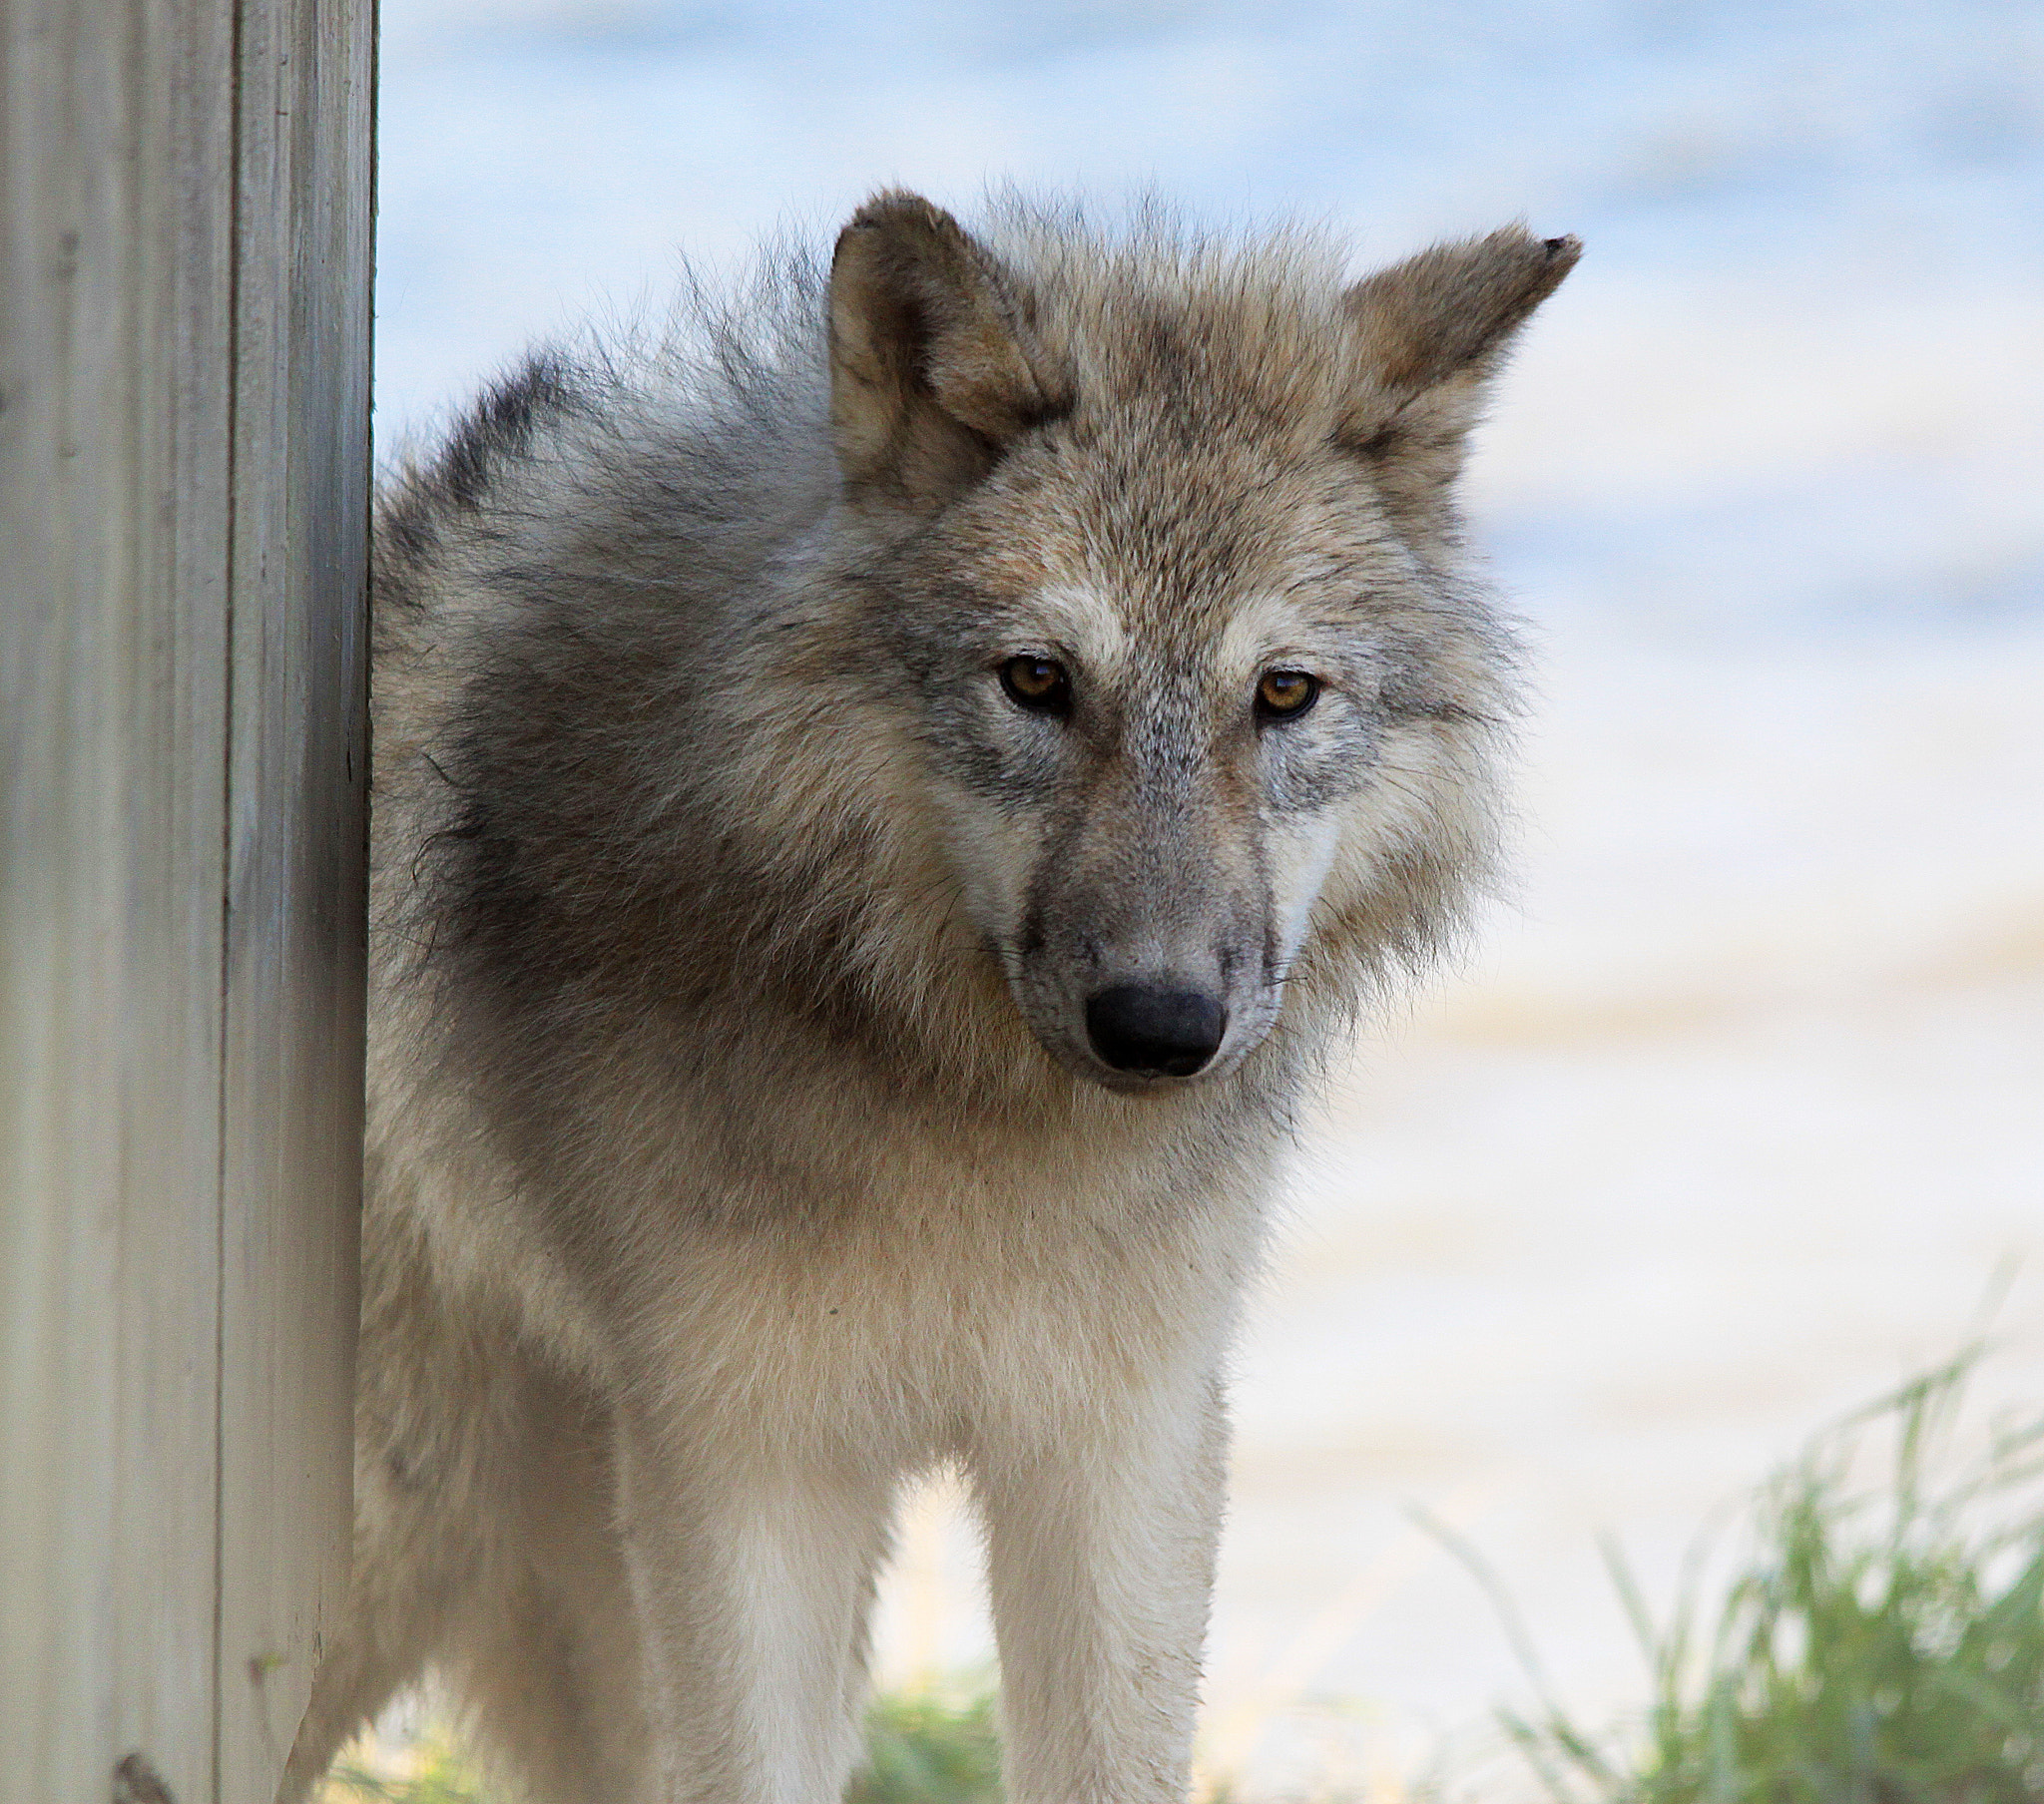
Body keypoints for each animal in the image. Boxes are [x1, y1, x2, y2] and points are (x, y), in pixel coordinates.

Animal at [281, 192, 1577, 1804]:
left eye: (1282, 695)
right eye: (1035, 681)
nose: (1160, 1027)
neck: (963, 1121)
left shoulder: (1117, 1454)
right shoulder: (748, 1466)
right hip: (397, 1544)